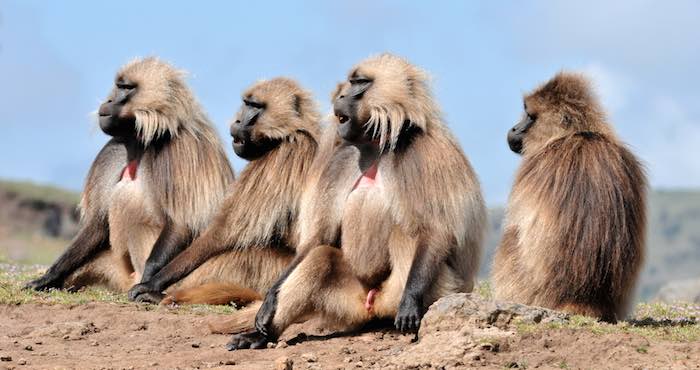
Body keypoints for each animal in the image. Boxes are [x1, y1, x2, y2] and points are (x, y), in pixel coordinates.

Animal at [26, 58, 234, 292]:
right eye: (118, 85)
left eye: (126, 88)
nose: (107, 100)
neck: (144, 138)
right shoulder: (114, 150)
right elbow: (98, 224)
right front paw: (48, 277)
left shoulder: (181, 149)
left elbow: (181, 222)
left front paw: (148, 283)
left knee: (132, 210)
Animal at [227, 52, 484, 350]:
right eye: (351, 82)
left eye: (360, 82)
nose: (339, 96)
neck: (377, 144)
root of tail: (372, 305)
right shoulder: (342, 159)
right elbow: (318, 239)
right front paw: (270, 300)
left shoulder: (427, 151)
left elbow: (436, 229)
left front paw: (411, 302)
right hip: (350, 303)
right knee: (320, 258)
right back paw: (262, 335)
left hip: (427, 291)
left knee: (407, 233)